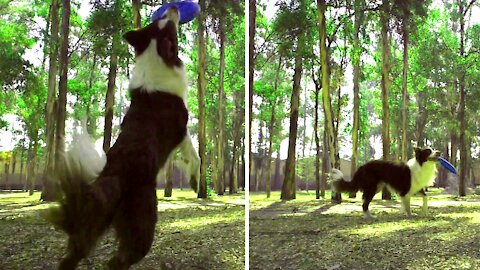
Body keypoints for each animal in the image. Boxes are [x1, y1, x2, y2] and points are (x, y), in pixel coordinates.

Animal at [47, 7, 200, 268]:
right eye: (167, 23)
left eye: (159, 20)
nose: (173, 8)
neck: (156, 55)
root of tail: (112, 177)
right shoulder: (181, 130)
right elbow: (195, 155)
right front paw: (195, 178)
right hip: (142, 222)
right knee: (120, 260)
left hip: (90, 229)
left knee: (72, 257)